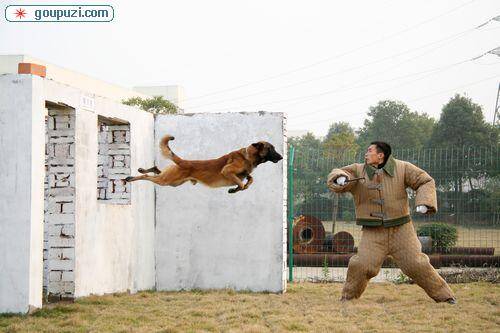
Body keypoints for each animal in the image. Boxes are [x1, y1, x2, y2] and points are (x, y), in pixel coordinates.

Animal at [123, 134, 284, 193]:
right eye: (271, 148)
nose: (282, 157)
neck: (247, 157)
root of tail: (183, 161)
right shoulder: (227, 171)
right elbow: (242, 182)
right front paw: (238, 188)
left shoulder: (245, 174)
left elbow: (250, 179)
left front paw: (237, 189)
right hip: (167, 181)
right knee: (149, 178)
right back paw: (130, 178)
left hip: (173, 182)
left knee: (156, 170)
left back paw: (142, 170)